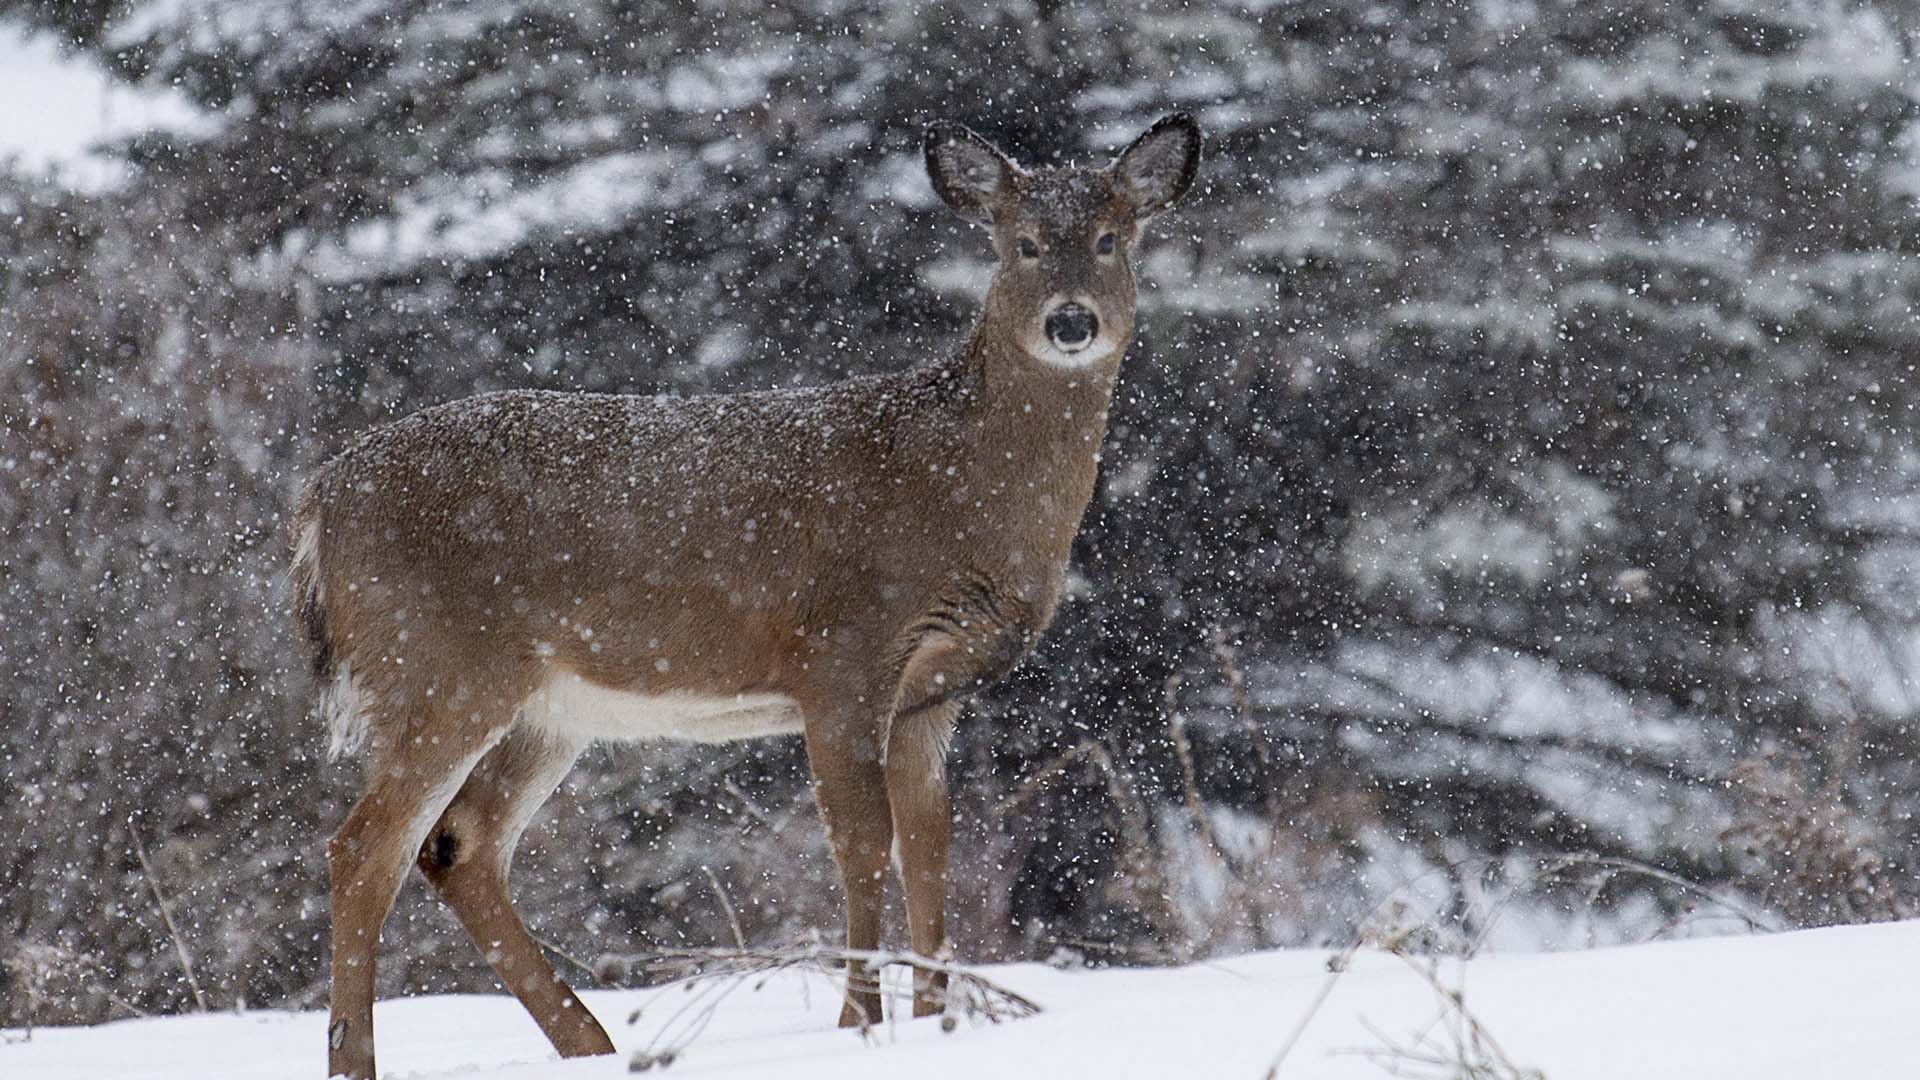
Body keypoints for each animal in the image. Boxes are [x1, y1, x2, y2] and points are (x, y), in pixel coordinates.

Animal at [293, 113, 1198, 1068]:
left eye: (1110, 238)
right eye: (1018, 242)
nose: (1072, 320)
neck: (957, 486)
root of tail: (320, 499)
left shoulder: (930, 691)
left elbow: (930, 846)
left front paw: (936, 1020)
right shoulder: (843, 653)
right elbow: (862, 843)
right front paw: (857, 1025)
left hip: (547, 708)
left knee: (457, 847)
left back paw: (591, 1041)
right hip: (437, 666)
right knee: (364, 847)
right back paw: (358, 1059)